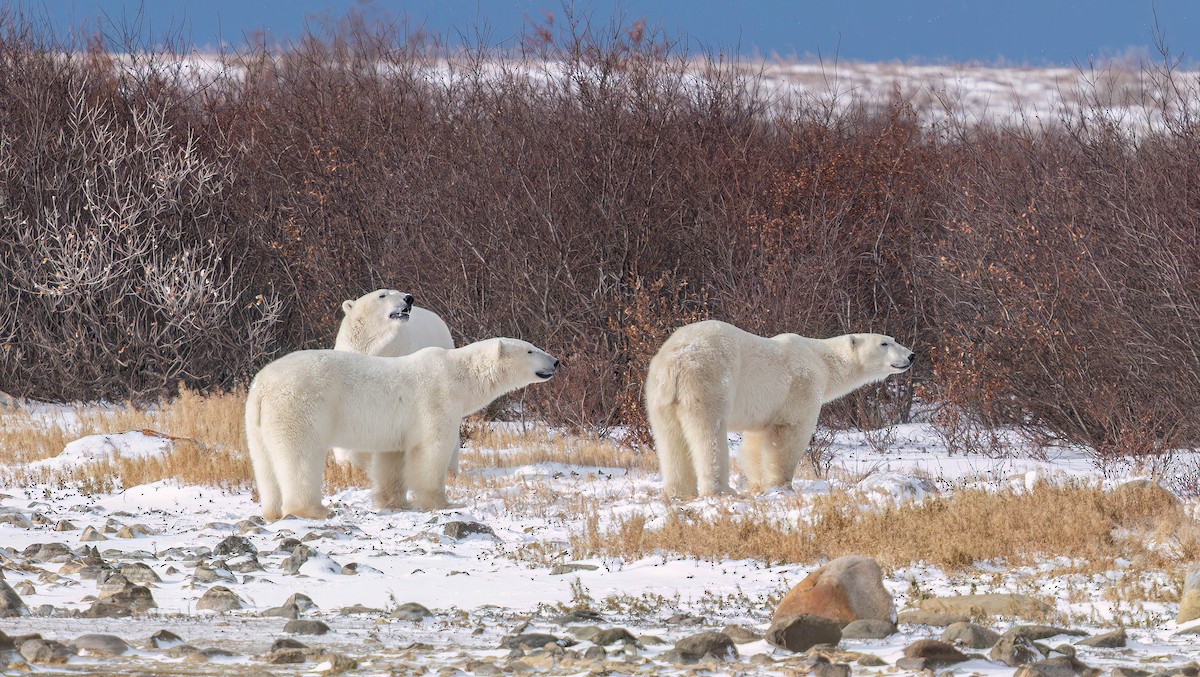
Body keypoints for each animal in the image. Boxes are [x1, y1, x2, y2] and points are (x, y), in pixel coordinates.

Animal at [245, 338, 558, 520]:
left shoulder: (397, 428)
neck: (459, 375)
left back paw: (271, 512)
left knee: (264, 463)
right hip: (300, 407)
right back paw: (314, 509)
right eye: (530, 349)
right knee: (301, 455)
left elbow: (392, 459)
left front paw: (395, 502)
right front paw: (445, 503)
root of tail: (263, 385)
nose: (556, 361)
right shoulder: (437, 400)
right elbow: (432, 450)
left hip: (256, 421)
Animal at [644, 320, 914, 498]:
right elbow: (788, 435)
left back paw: (678, 492)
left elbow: (755, 442)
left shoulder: (764, 408)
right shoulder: (802, 387)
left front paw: (757, 485)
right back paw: (722, 490)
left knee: (670, 438)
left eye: (893, 339)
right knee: (708, 434)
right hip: (708, 380)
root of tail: (676, 359)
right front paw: (782, 486)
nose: (911, 355)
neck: (821, 361)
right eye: (884, 342)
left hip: (659, 393)